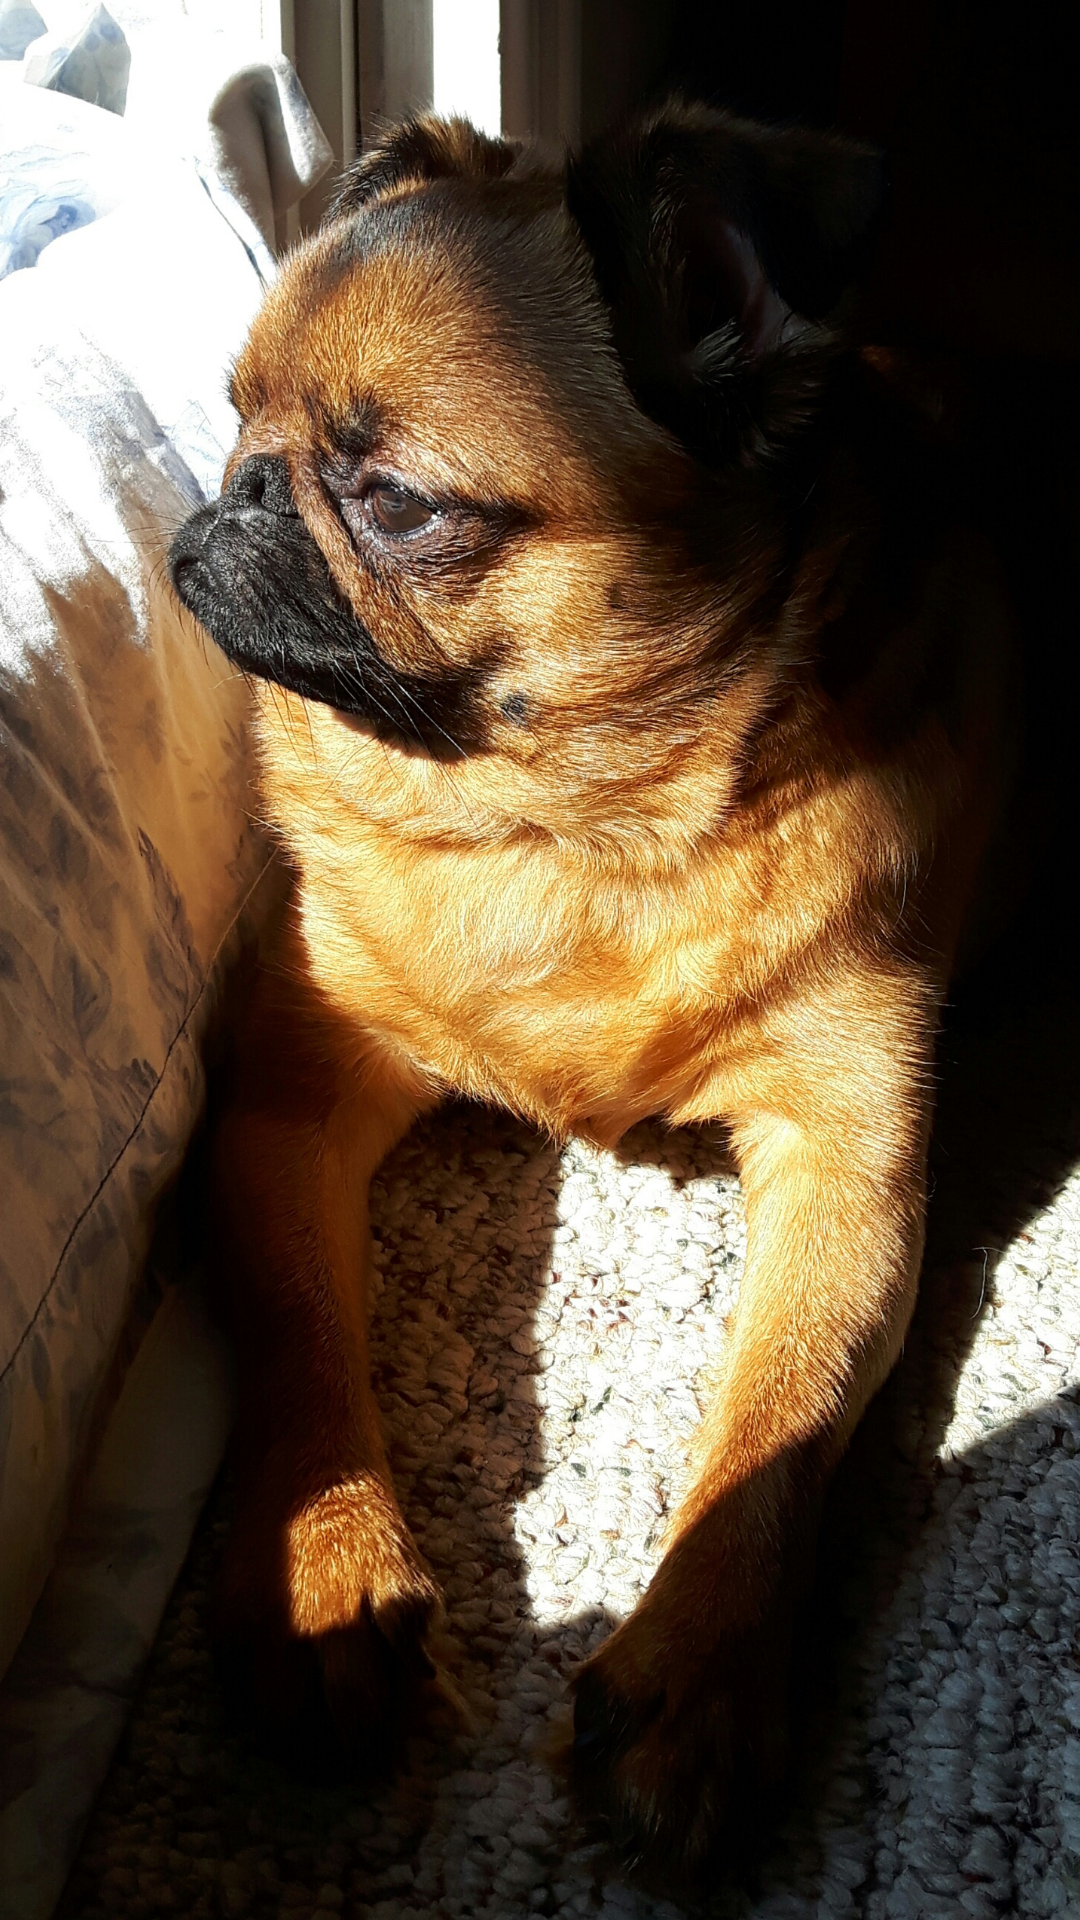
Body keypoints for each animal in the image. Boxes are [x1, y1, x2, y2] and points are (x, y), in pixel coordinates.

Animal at [168, 103, 1011, 1886]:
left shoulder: (848, 1165)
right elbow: (295, 1326)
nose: (234, 498)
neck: (571, 830)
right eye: (234, 417)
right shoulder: (286, 1097)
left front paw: (695, 1680)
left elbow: (780, 1418)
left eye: (396, 500)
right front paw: (319, 1577)